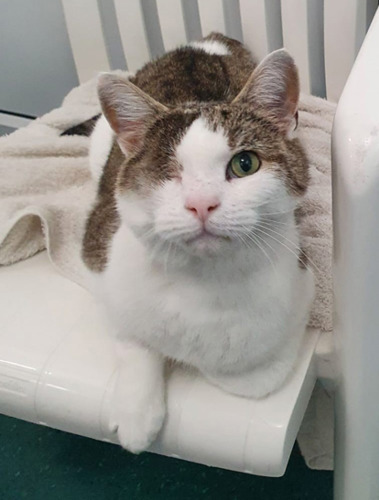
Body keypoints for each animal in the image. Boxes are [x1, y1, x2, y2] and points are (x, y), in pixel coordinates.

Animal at [79, 32, 314, 454]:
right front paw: (137, 408)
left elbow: (247, 373)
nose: (201, 203)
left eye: (245, 164)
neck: (202, 282)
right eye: (165, 172)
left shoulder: (301, 286)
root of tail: (207, 40)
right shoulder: (98, 255)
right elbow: (130, 334)